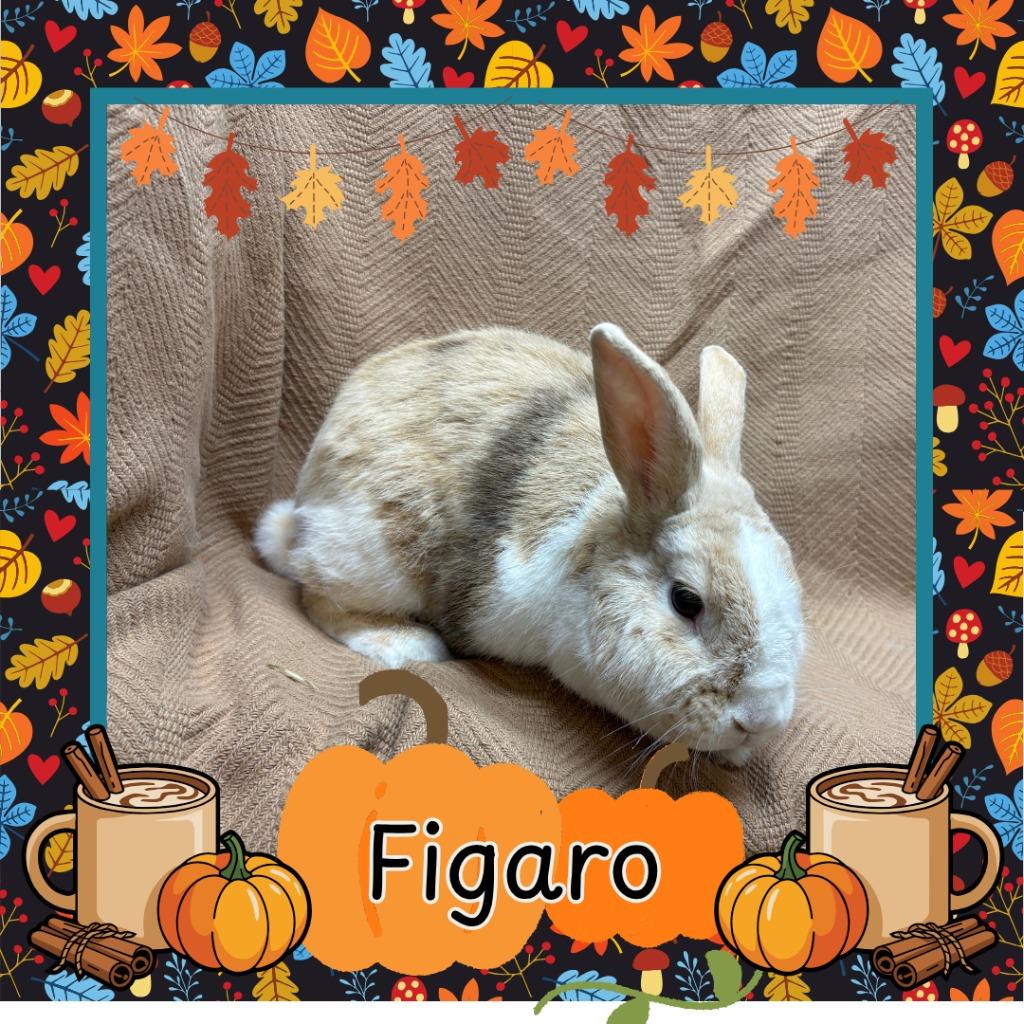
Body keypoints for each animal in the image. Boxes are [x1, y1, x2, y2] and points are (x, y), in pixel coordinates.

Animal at [255, 323, 804, 766]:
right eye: (686, 601)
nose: (760, 719)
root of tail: (304, 500)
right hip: (372, 556)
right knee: (317, 594)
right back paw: (406, 644)